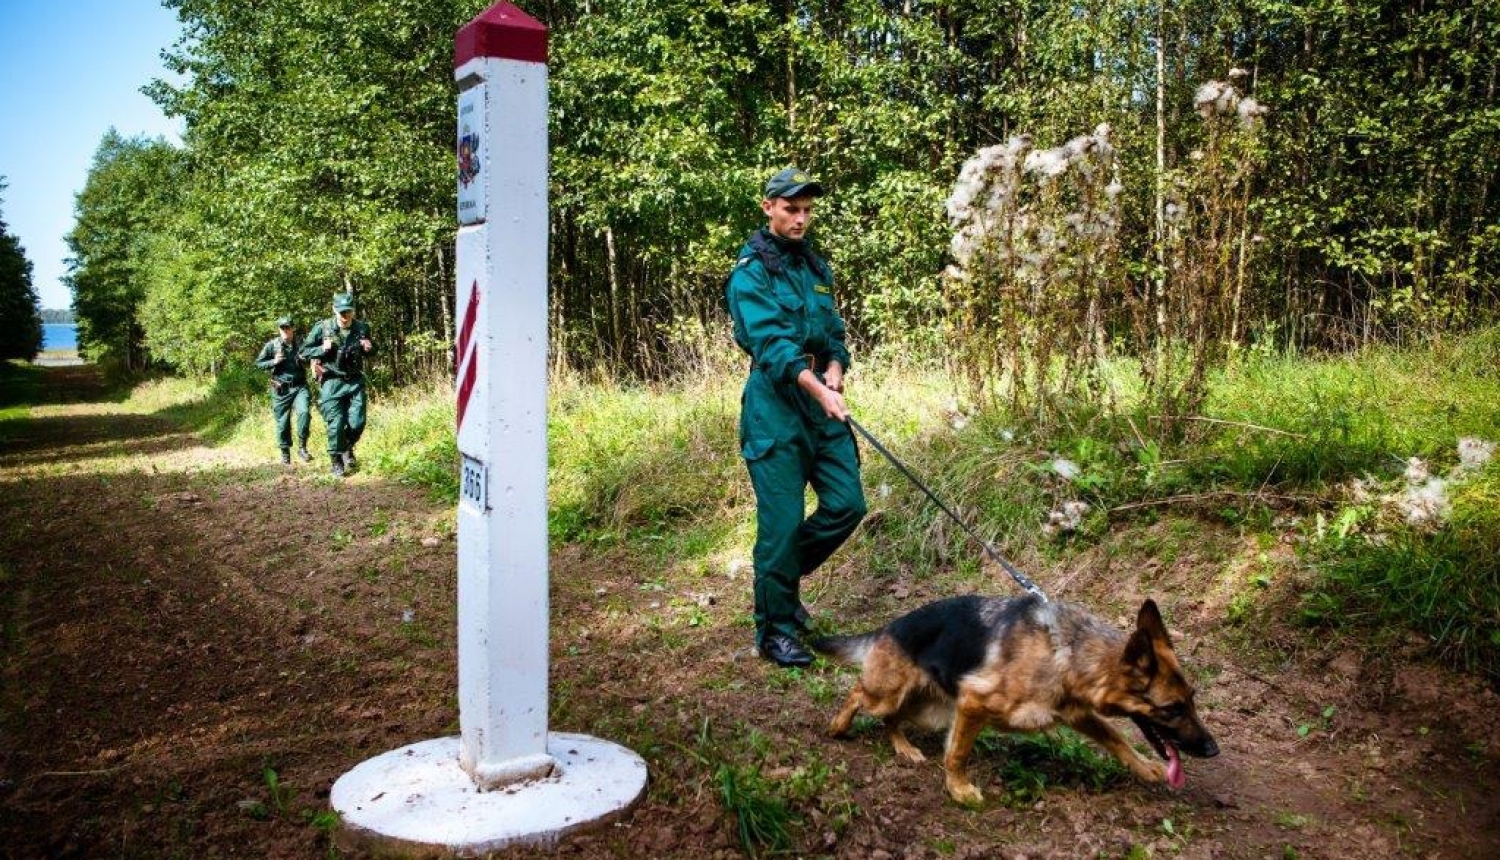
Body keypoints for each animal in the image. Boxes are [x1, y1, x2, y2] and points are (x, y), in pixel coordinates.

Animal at [810, 594, 1218, 804]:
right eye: (1172, 709)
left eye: (1192, 700)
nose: (1213, 750)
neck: (1067, 653)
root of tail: (889, 627)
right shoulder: (973, 703)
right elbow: (957, 754)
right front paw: (958, 789)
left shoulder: (1075, 713)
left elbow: (1114, 736)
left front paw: (1142, 765)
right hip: (890, 693)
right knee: (858, 694)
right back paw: (838, 726)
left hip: (930, 710)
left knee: (892, 718)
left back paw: (904, 748)